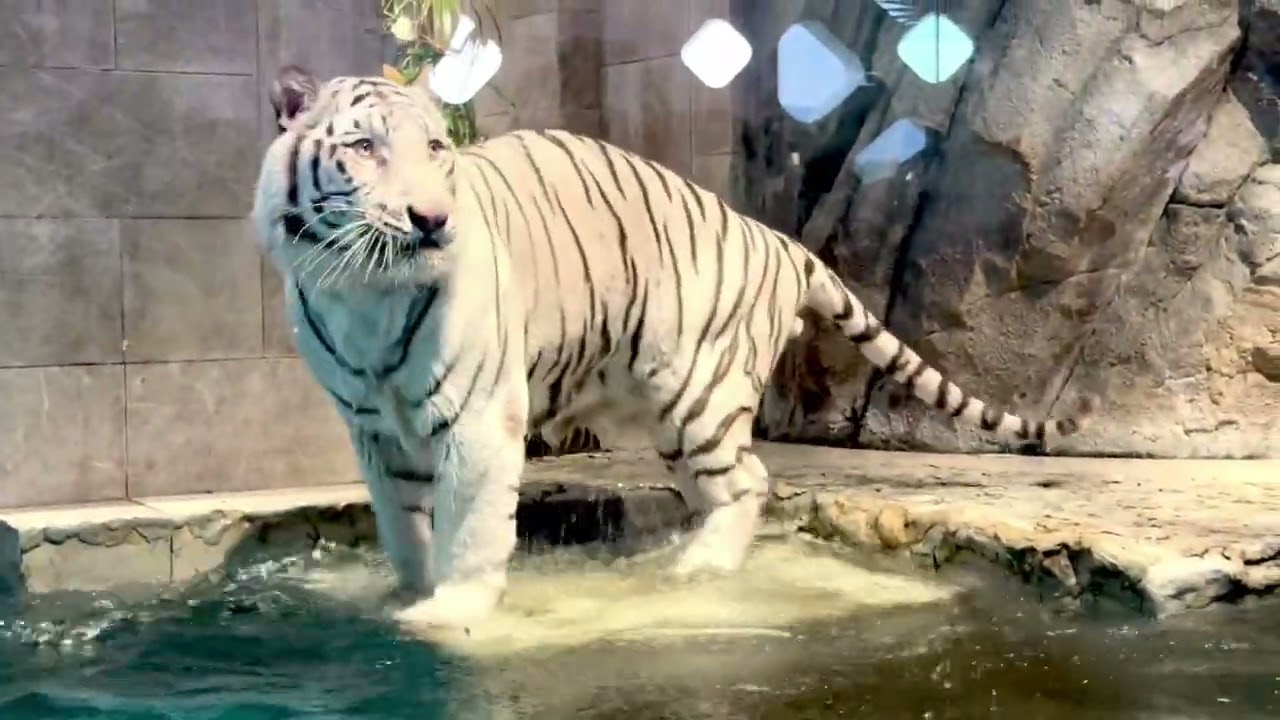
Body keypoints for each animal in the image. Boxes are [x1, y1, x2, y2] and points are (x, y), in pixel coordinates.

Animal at [251, 65, 1097, 630]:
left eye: (435, 147)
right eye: (363, 147)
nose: (433, 219)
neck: (363, 290)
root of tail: (780, 240)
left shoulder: (480, 415)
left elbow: (472, 525)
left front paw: (450, 610)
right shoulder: (373, 429)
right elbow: (404, 526)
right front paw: (406, 590)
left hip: (700, 391)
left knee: (751, 481)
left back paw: (698, 569)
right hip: (666, 414)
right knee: (719, 490)